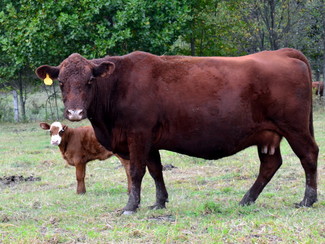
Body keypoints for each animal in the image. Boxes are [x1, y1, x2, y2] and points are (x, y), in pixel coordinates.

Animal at [35, 47, 316, 214]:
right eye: (61, 82)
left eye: (90, 80)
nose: (74, 113)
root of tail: (283, 53)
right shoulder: (150, 141)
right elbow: (156, 171)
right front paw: (159, 202)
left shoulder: (138, 135)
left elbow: (136, 172)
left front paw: (131, 206)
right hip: (268, 135)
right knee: (270, 164)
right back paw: (247, 199)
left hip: (295, 127)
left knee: (309, 155)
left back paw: (307, 200)